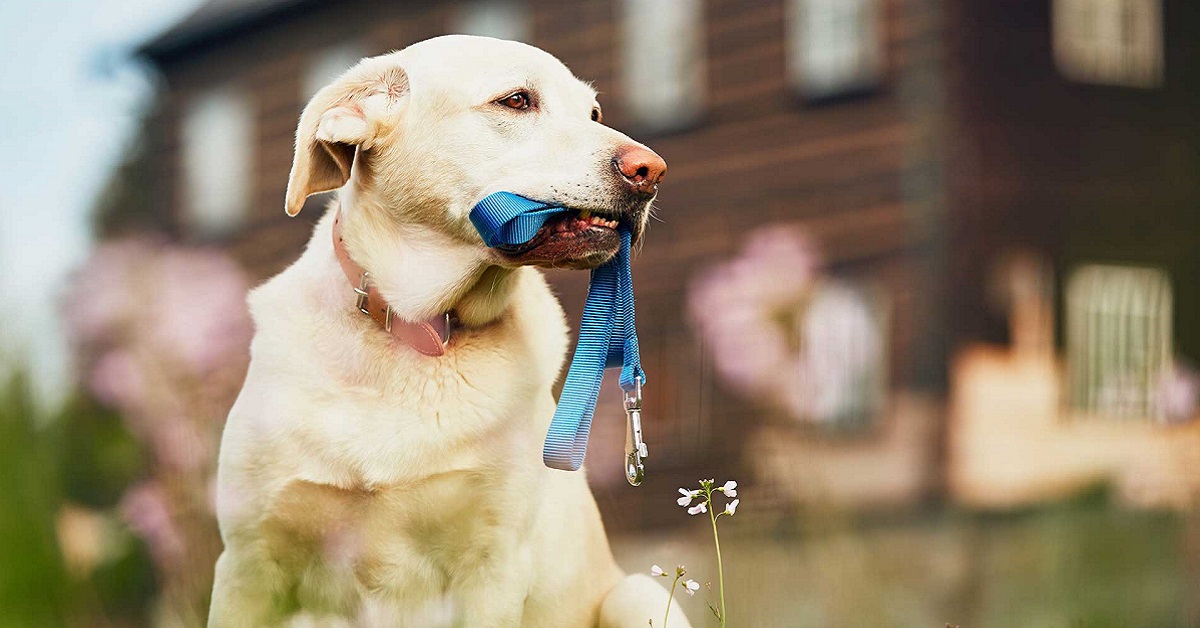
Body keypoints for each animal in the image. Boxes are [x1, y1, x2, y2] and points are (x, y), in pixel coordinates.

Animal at [210, 35, 691, 628]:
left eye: (594, 114)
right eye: (516, 100)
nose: (653, 170)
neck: (418, 327)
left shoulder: (493, 566)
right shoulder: (249, 562)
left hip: (635, 594)